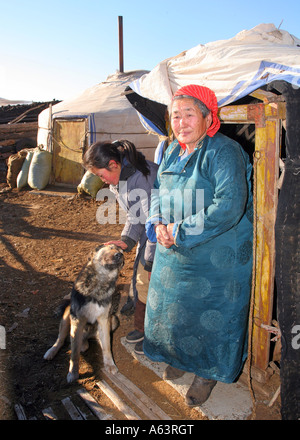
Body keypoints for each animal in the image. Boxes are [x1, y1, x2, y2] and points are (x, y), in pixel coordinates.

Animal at [43, 242, 124, 384]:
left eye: (121, 251)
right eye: (111, 247)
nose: (120, 254)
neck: (100, 282)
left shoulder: (104, 319)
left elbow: (107, 347)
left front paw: (110, 364)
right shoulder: (77, 320)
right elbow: (74, 353)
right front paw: (73, 373)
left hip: (113, 320)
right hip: (67, 316)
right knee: (61, 339)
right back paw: (51, 351)